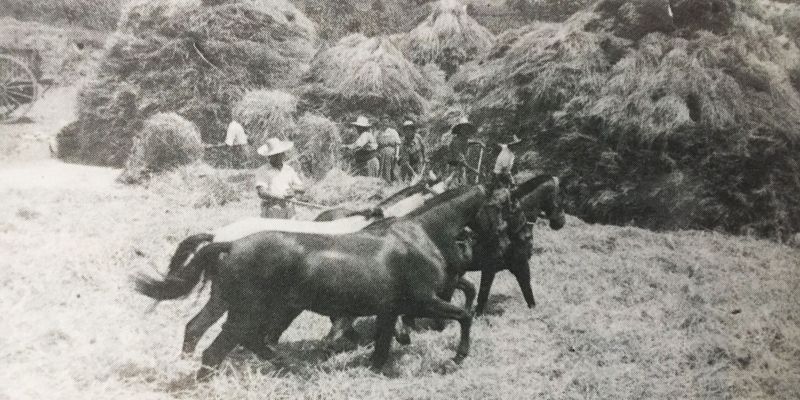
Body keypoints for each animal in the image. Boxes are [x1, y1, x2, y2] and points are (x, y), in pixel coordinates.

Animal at [136, 186, 488, 380]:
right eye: (498, 205)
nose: (495, 239)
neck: (415, 234)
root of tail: (227, 243)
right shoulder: (423, 300)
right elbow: (463, 315)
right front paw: (457, 356)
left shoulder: (391, 308)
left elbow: (382, 343)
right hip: (247, 311)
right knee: (223, 348)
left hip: (226, 301)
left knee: (201, 329)